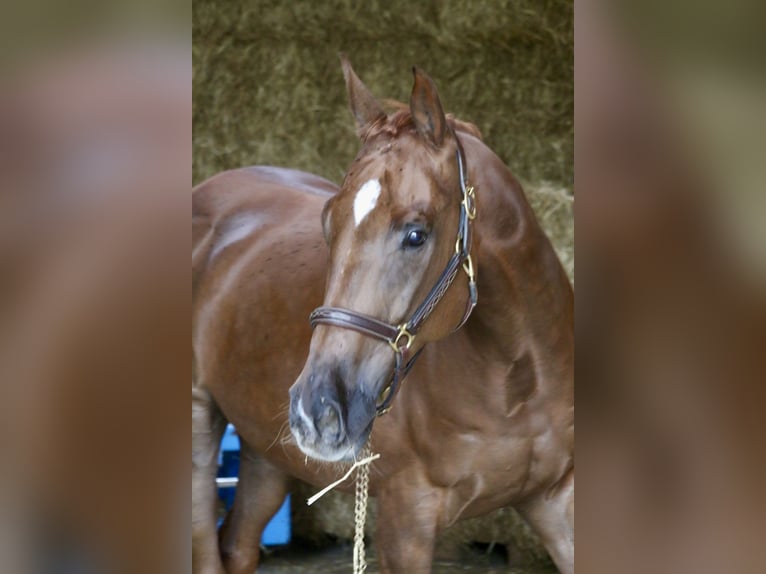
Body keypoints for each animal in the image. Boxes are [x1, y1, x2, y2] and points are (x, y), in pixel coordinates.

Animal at [194, 59, 576, 574]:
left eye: (416, 234)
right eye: (327, 223)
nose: (317, 410)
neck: (518, 378)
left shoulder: (558, 499)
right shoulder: (406, 517)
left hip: (265, 452)